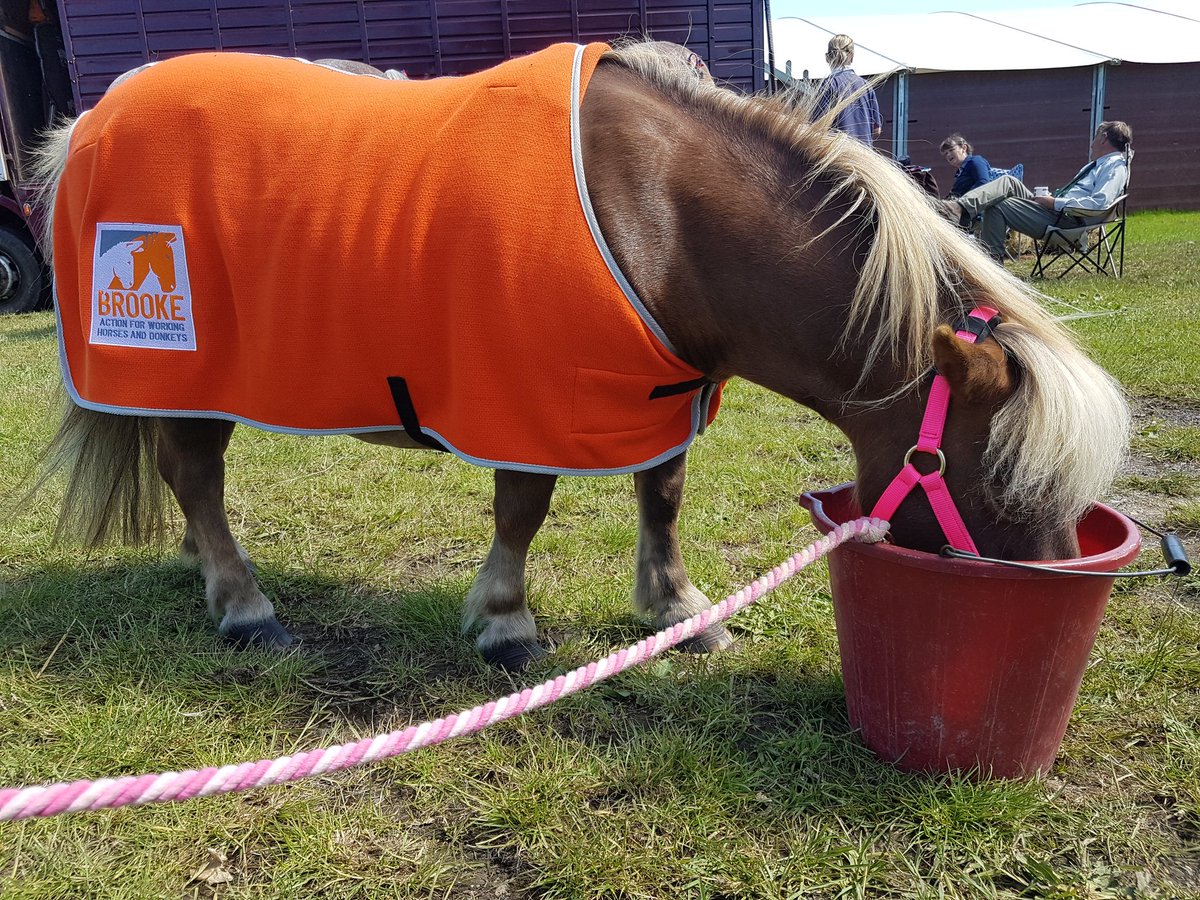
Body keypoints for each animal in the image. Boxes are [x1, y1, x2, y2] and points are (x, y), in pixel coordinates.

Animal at [28, 40, 1129, 671]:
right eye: (1001, 473)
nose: (1053, 586)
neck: (660, 211)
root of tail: (90, 119)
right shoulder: (526, 397)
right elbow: (523, 508)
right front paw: (507, 625)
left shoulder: (658, 391)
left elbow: (663, 498)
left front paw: (679, 611)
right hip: (180, 364)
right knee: (195, 472)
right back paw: (245, 607)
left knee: (186, 477)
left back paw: (206, 571)